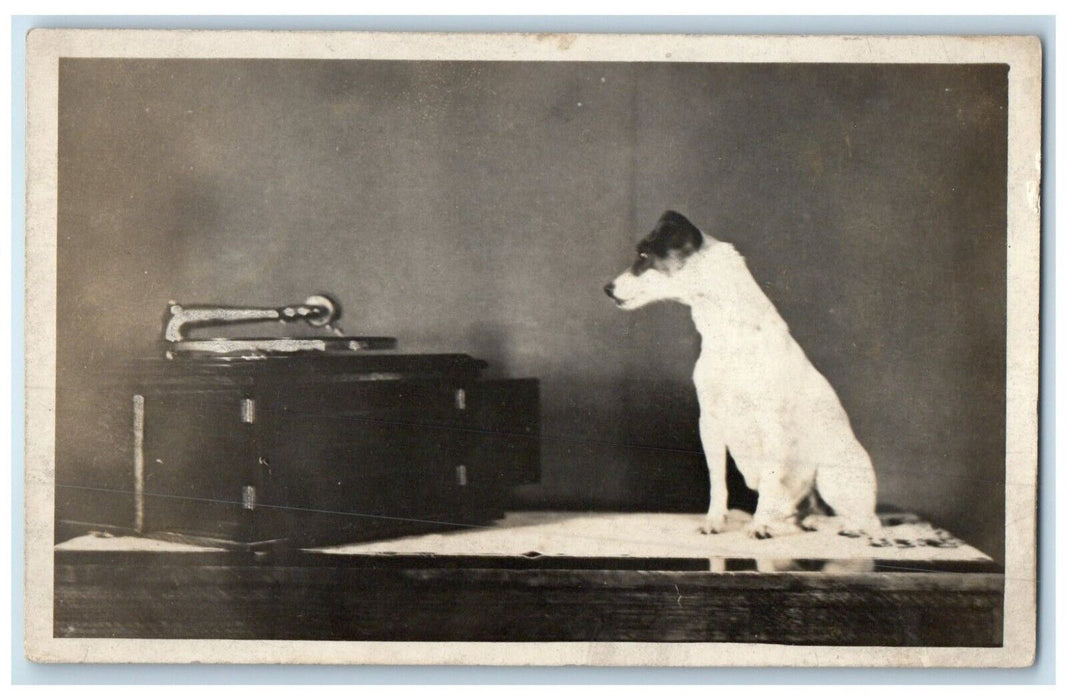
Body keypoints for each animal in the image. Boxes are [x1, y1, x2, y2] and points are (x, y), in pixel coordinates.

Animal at [606, 210, 879, 537]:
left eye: (644, 255)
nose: (607, 289)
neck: (731, 334)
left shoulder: (771, 424)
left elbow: (771, 478)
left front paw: (759, 526)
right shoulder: (709, 422)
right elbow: (717, 481)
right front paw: (715, 521)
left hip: (831, 474)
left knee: (864, 521)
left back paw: (823, 524)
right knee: (801, 511)